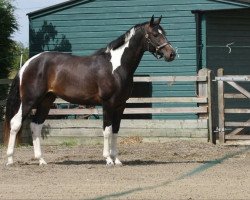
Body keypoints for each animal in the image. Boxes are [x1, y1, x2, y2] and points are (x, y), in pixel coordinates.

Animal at [3, 15, 176, 166]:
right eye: (155, 34)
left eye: (164, 33)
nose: (171, 53)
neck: (116, 67)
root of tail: (28, 63)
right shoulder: (108, 104)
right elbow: (107, 130)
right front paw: (108, 159)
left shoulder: (120, 106)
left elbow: (116, 130)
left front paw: (117, 160)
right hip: (29, 100)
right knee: (16, 123)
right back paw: (10, 160)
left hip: (46, 101)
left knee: (36, 126)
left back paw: (41, 160)